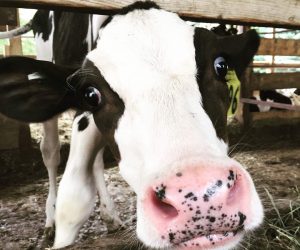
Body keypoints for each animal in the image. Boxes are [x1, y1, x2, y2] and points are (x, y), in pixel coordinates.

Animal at [0, 1, 262, 250]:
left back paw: (109, 216)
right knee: (51, 153)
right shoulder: (83, 116)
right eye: (91, 94)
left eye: (221, 66)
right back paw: (50, 219)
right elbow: (73, 200)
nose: (199, 195)